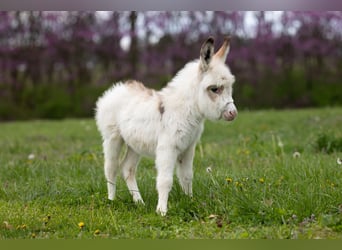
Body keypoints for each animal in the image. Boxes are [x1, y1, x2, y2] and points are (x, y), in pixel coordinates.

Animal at [95, 35, 236, 215]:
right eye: (215, 89)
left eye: (230, 87)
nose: (233, 113)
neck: (186, 111)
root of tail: (115, 89)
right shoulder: (167, 148)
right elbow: (165, 180)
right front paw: (162, 211)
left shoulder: (188, 147)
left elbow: (187, 176)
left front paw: (190, 201)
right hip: (113, 138)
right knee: (111, 169)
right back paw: (111, 201)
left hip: (134, 144)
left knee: (127, 169)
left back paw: (139, 203)